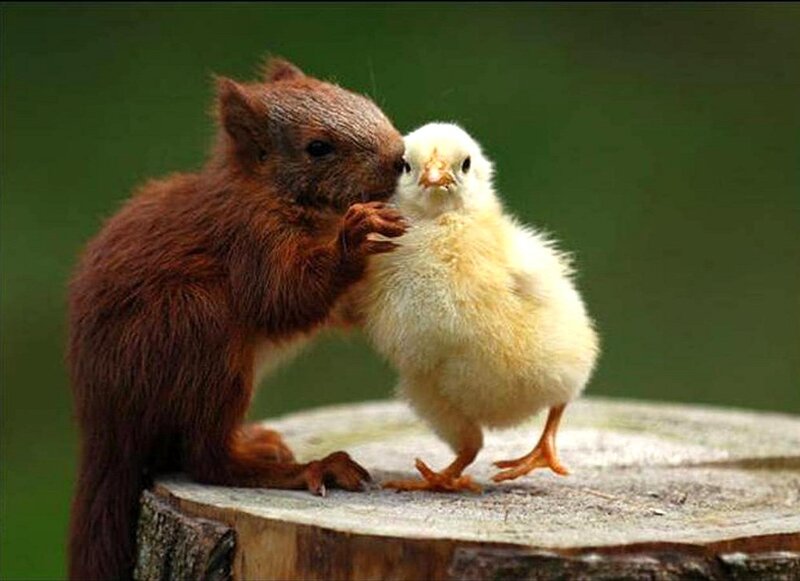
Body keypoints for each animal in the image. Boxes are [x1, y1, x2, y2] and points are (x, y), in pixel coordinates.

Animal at [66, 58, 407, 581]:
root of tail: (107, 426)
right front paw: (355, 237)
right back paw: (304, 468)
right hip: (197, 330)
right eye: (317, 148)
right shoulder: (250, 238)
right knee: (207, 461)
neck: (273, 193)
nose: (401, 157)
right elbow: (284, 297)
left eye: (366, 102)